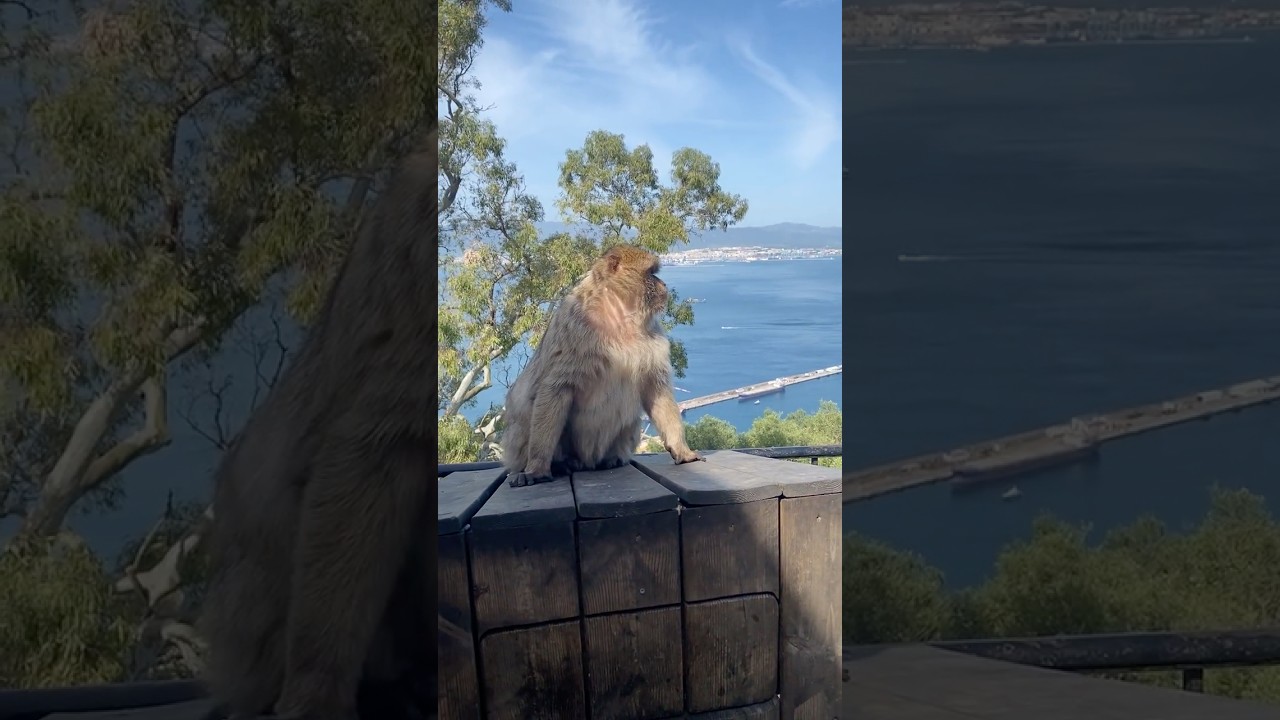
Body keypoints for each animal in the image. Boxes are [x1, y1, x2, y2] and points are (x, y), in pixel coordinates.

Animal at [501, 244, 703, 488]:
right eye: (651, 273)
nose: (663, 285)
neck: (619, 317)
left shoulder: (654, 337)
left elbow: (656, 390)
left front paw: (681, 449)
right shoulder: (572, 328)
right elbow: (554, 389)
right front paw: (537, 468)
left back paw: (612, 458)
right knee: (524, 405)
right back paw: (560, 464)